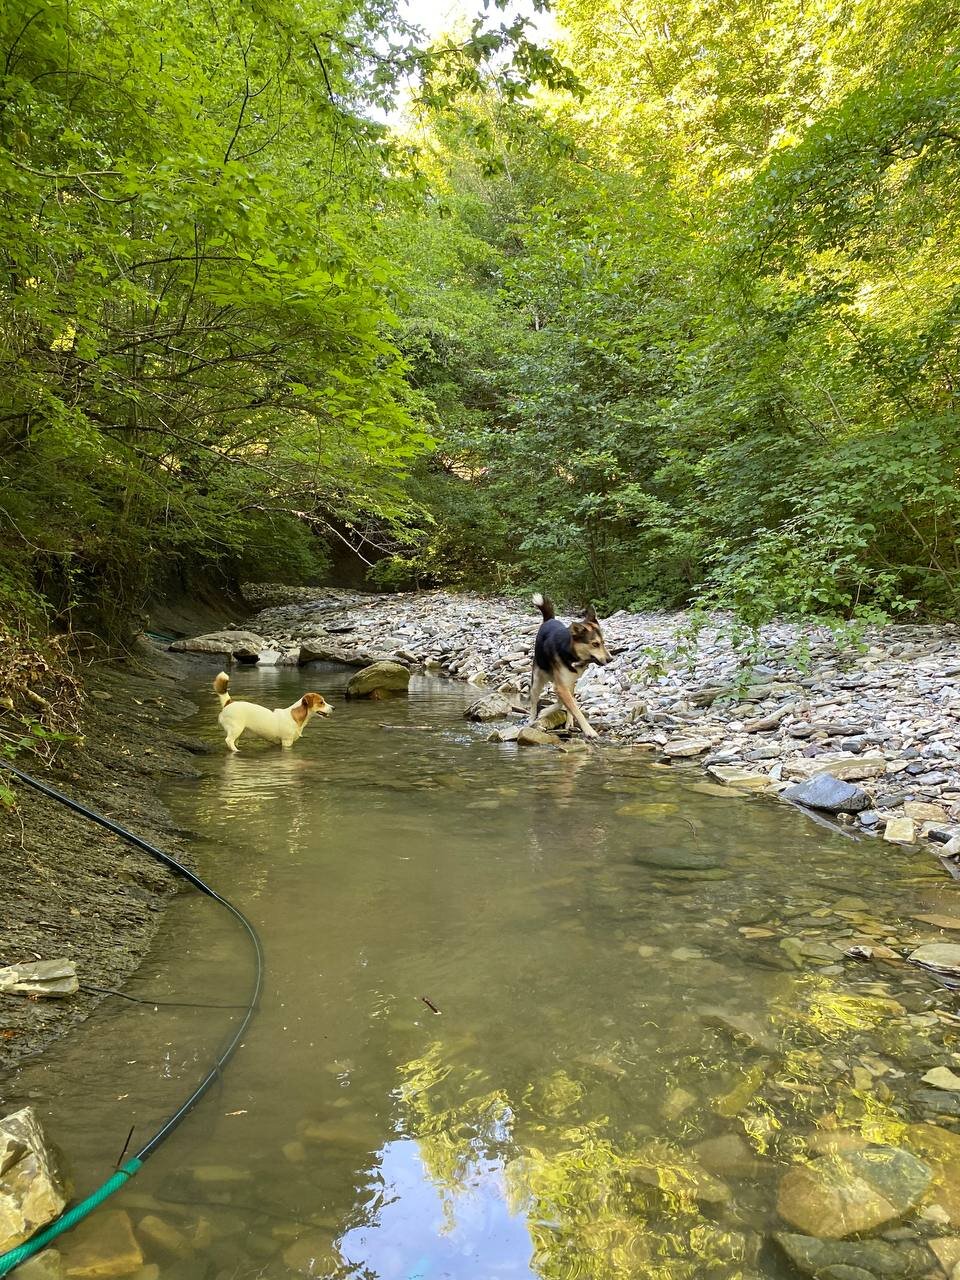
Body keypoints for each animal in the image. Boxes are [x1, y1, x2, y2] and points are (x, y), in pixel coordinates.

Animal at [529, 591, 611, 742]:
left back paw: (568, 722)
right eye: (595, 644)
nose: (610, 659)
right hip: (537, 680)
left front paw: (547, 711)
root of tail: (549, 620)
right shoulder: (560, 686)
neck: (572, 653)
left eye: (603, 642)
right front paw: (589, 731)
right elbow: (574, 708)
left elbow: (567, 703)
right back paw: (532, 719)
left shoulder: (565, 684)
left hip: (569, 682)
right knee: (533, 701)